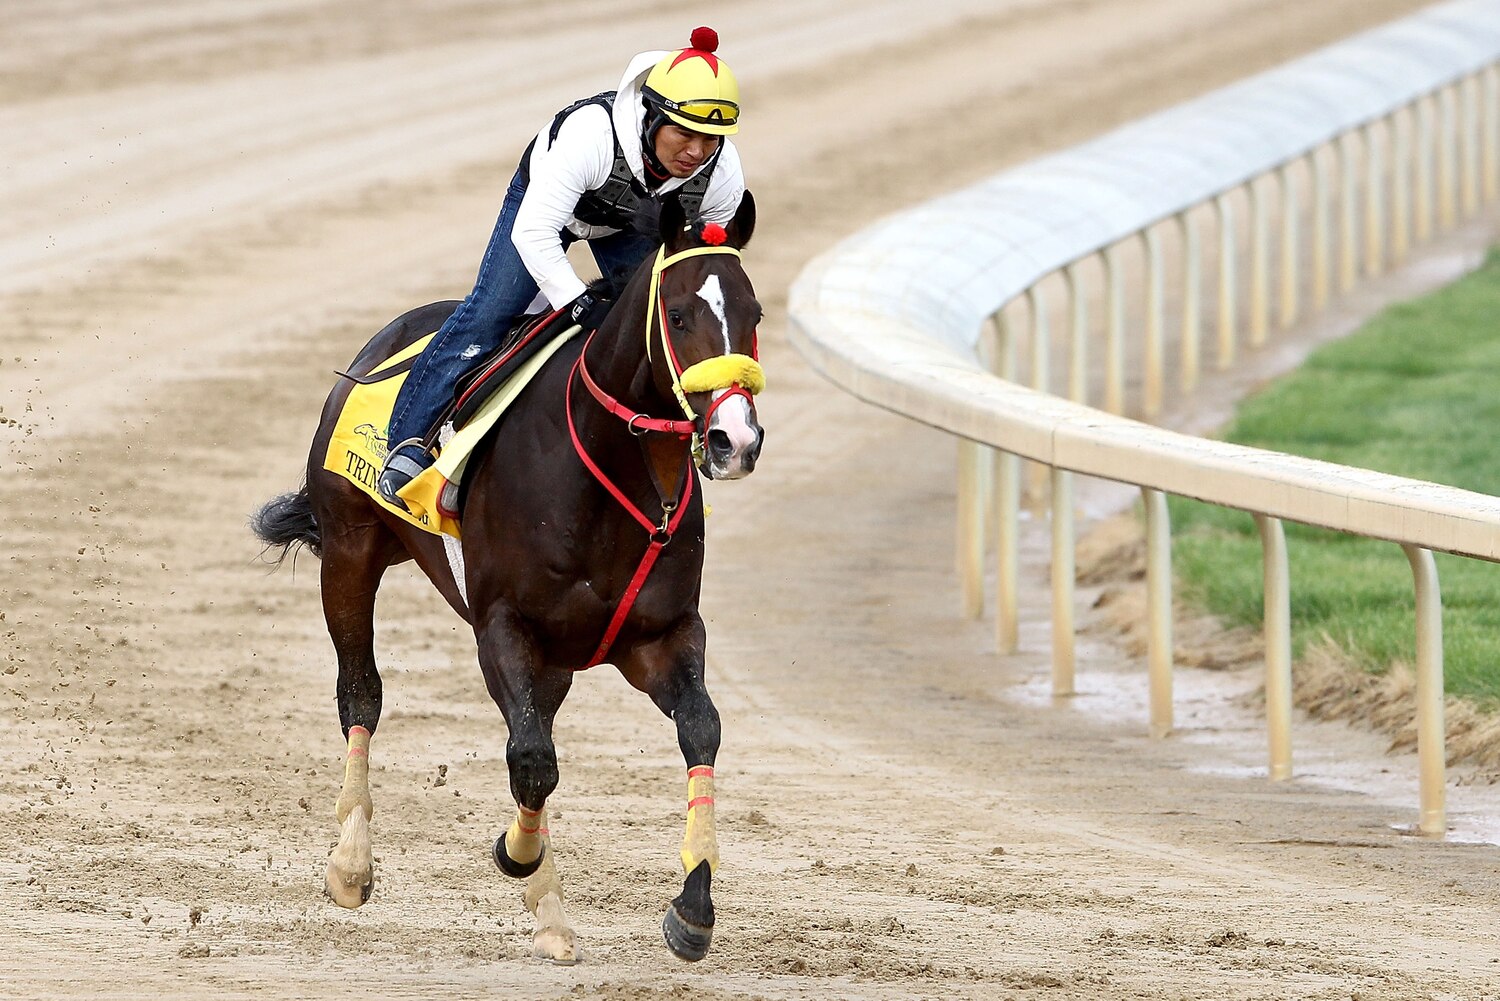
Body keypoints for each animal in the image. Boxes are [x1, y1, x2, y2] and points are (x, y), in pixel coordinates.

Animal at [250, 192, 763, 964]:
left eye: (754, 313)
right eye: (677, 315)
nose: (737, 439)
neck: (606, 472)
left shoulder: (659, 635)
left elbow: (698, 730)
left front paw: (693, 909)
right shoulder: (502, 627)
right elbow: (532, 758)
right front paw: (517, 857)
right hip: (348, 550)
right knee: (361, 694)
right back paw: (352, 863)